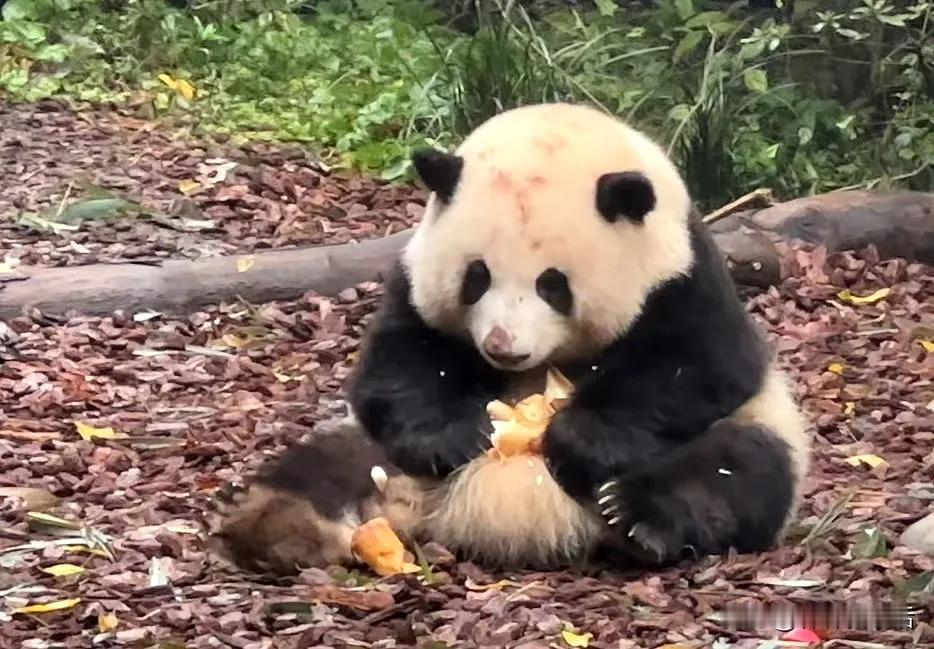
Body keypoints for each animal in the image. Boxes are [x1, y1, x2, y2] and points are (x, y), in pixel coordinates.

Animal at [218, 101, 812, 572]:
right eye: (476, 276)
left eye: (553, 284)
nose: (502, 347)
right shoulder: (412, 279)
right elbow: (400, 363)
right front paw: (454, 436)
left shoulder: (683, 277)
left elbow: (697, 367)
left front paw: (577, 441)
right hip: (376, 457)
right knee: (329, 465)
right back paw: (280, 527)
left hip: (758, 430)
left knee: (734, 469)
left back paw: (639, 520)